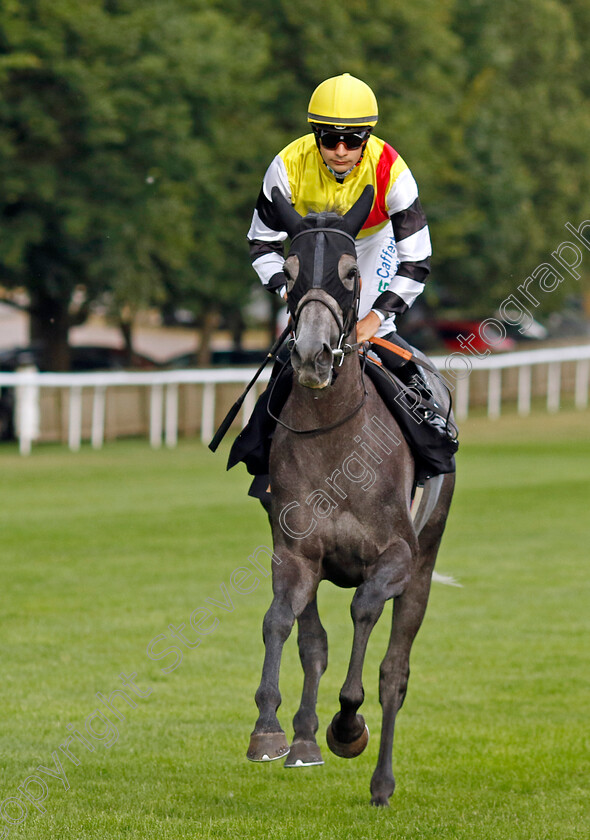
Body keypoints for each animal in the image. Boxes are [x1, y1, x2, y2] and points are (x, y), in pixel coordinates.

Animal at [246, 185, 458, 808]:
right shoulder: (295, 551)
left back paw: (381, 781)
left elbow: (365, 612)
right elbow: (280, 623)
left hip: (426, 556)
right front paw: (272, 731)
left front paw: (348, 725)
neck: (335, 437)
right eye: (289, 273)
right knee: (313, 640)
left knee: (395, 671)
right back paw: (304, 739)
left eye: (348, 273)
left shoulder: (396, 557)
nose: (313, 354)